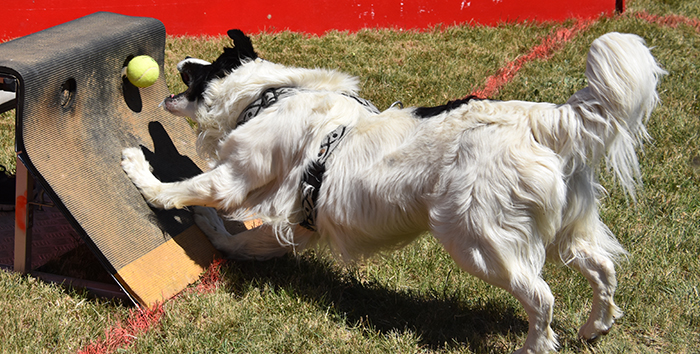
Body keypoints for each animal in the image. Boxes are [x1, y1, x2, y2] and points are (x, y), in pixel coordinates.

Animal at [121, 30, 668, 354]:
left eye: (204, 67)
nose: (180, 57)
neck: (269, 95)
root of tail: (541, 119)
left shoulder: (233, 177)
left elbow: (190, 190)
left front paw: (143, 173)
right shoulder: (297, 220)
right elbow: (245, 240)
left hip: (476, 240)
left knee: (542, 297)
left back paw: (536, 346)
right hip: (561, 232)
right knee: (603, 269)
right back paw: (596, 326)